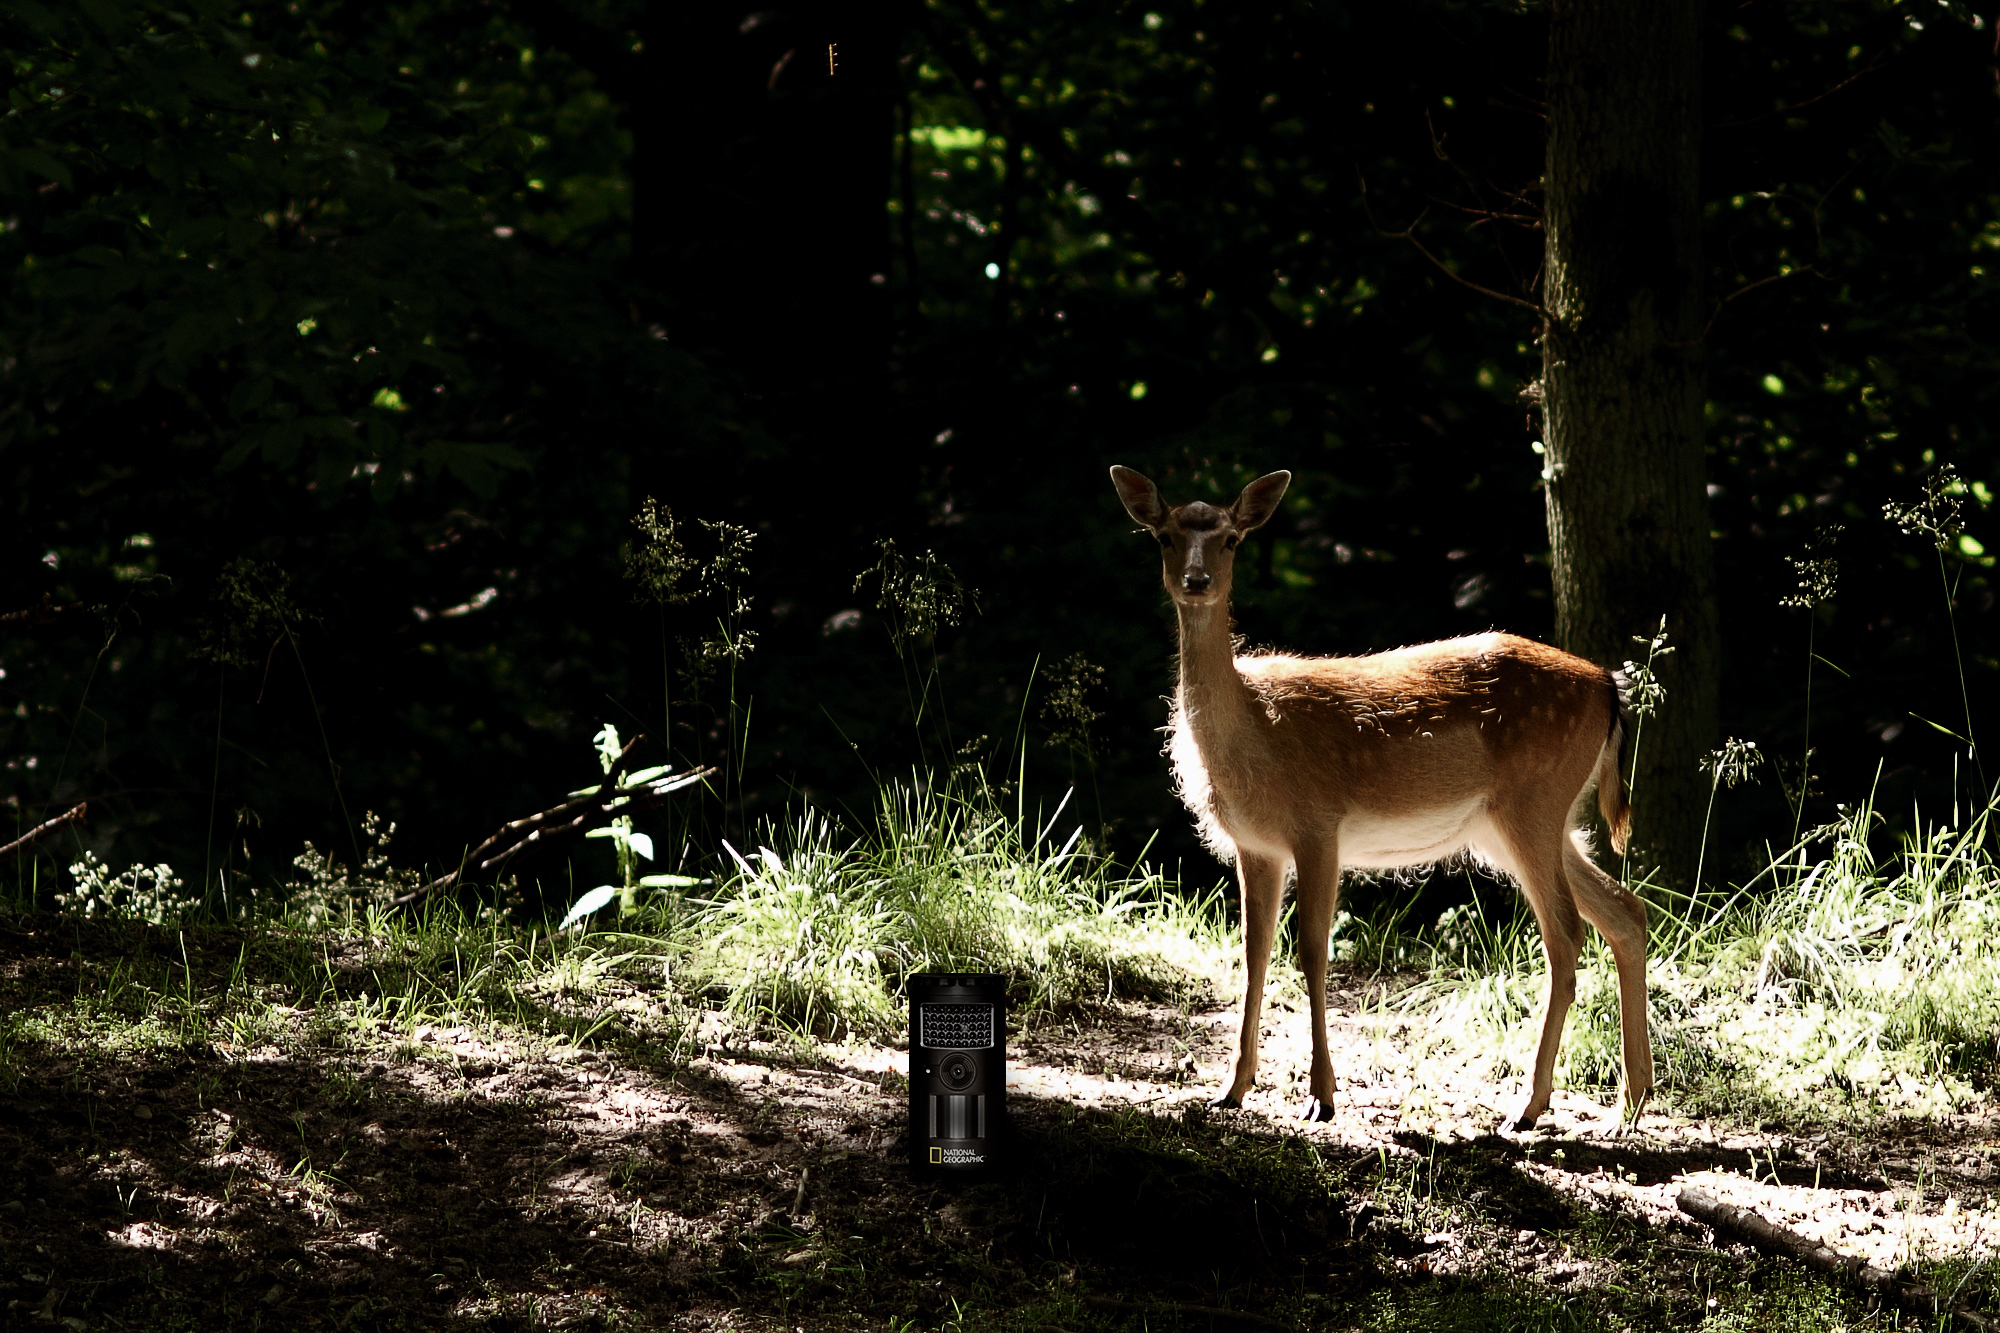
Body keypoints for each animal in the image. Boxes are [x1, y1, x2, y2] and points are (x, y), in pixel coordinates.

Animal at [1112, 462, 1656, 1128]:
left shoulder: (1317, 823)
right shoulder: (1256, 845)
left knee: (1566, 934)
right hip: (1522, 825)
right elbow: (1253, 953)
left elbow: (1313, 951)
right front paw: (1232, 1088)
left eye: (1232, 539)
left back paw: (1529, 1106)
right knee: (1625, 911)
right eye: (1163, 536)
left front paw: (1321, 1096)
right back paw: (1631, 1099)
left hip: (1534, 803)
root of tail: (1608, 685)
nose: (1196, 580)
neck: (1255, 731)